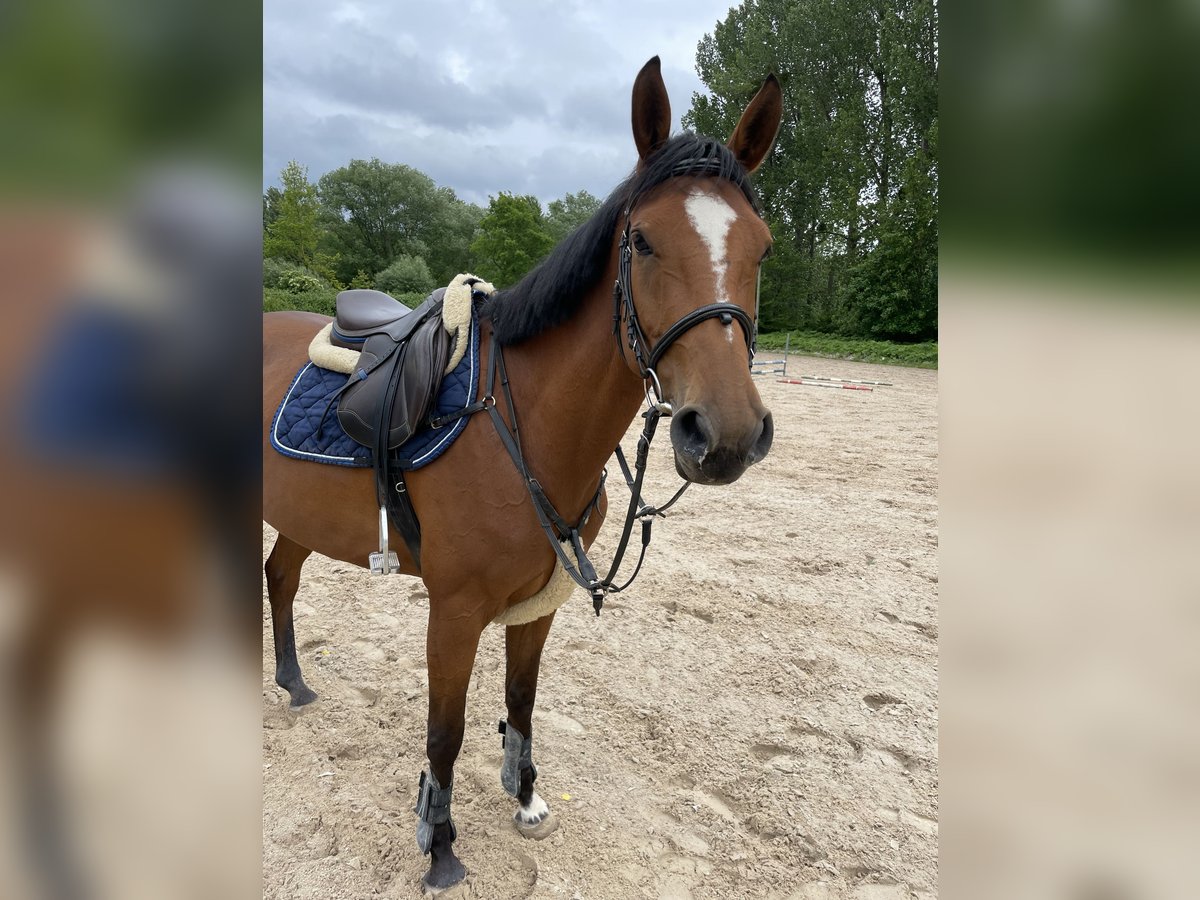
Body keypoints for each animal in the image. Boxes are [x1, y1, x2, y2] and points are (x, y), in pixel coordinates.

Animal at [262, 56, 783, 892]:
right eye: (642, 241)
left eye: (762, 249)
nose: (726, 433)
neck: (525, 420)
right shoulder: (454, 610)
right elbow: (444, 733)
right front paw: (440, 846)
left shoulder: (539, 603)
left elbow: (522, 701)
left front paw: (527, 797)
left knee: (280, 576)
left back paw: (294, 682)